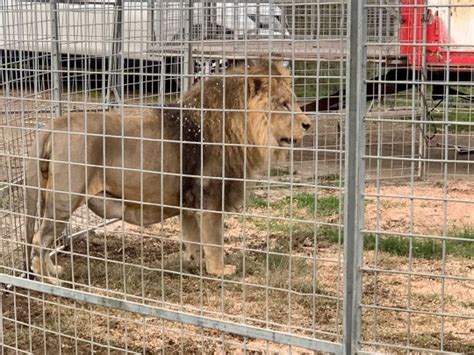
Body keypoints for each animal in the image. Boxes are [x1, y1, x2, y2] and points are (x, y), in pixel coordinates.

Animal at [25, 60, 312, 284]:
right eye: (283, 104)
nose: (308, 124)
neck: (238, 126)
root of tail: (53, 125)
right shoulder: (209, 196)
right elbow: (215, 241)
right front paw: (219, 271)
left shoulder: (190, 202)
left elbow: (194, 239)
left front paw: (193, 264)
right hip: (65, 198)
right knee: (40, 239)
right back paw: (48, 279)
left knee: (44, 240)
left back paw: (53, 271)